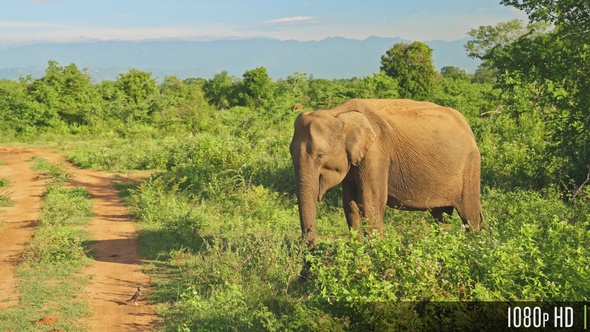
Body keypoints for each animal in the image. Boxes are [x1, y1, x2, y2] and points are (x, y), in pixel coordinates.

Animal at [290, 98, 486, 252]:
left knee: (470, 216)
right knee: (442, 216)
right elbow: (350, 204)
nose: (311, 254)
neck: (338, 113)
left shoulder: (376, 151)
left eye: (320, 155)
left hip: (470, 167)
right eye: (290, 153)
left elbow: (370, 201)